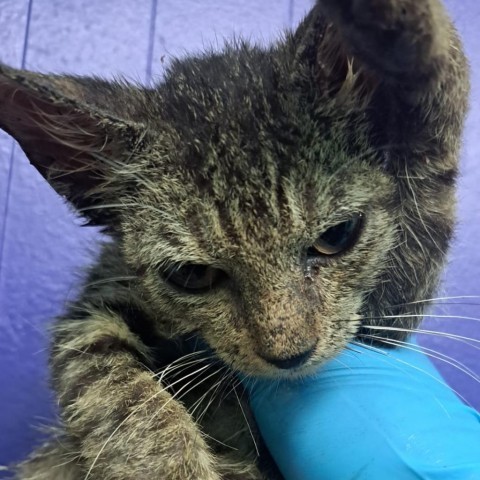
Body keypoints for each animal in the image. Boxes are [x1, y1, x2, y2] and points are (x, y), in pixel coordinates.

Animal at [0, 0, 468, 478]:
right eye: (192, 274)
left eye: (337, 235)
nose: (290, 355)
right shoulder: (94, 302)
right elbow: (108, 385)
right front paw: (172, 463)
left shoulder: (388, 316)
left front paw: (407, 32)